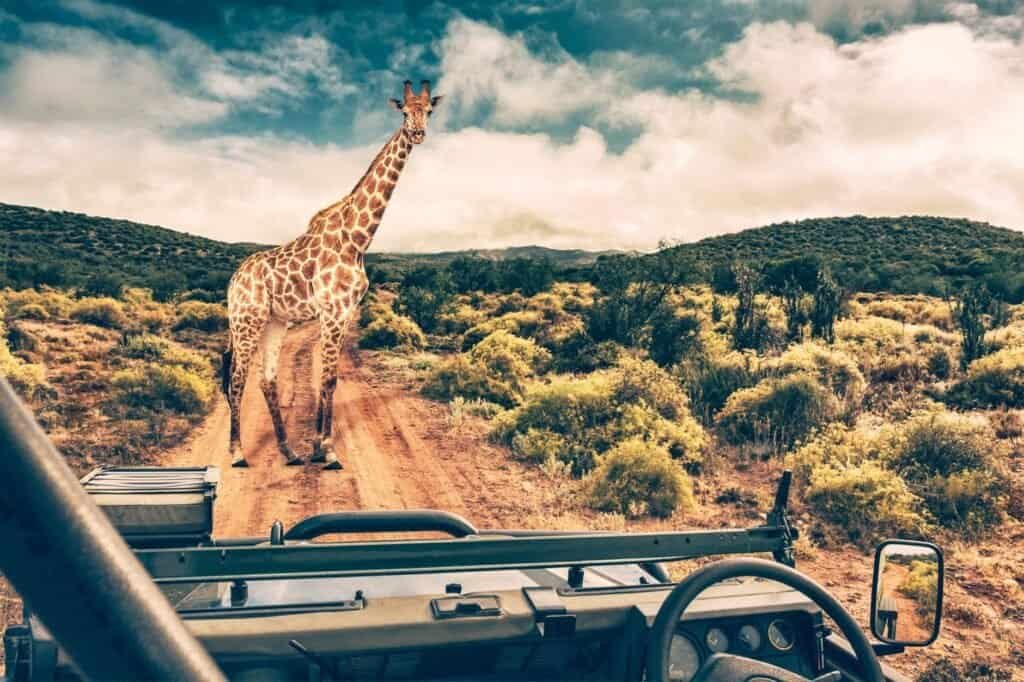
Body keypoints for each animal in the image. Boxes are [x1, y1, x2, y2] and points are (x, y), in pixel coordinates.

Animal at [224, 78, 440, 466]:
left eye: (429, 110)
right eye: (404, 111)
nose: (417, 133)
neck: (357, 239)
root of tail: (233, 281)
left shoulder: (345, 311)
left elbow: (331, 379)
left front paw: (314, 447)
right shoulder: (332, 311)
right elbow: (325, 379)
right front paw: (327, 450)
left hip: (274, 321)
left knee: (266, 380)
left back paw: (288, 451)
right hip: (246, 320)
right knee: (236, 379)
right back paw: (237, 453)